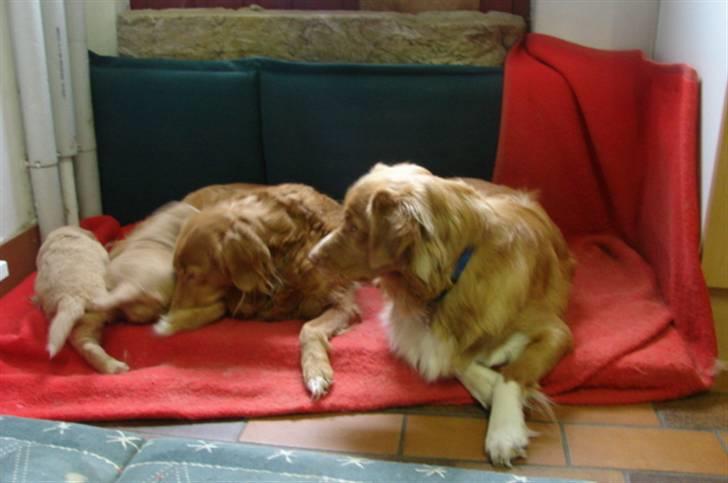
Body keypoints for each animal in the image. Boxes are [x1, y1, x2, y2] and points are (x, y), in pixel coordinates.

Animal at [156, 183, 358, 398]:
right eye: (176, 272)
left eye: (192, 275)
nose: (169, 310)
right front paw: (171, 323)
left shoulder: (343, 301)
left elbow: (309, 328)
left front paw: (316, 371)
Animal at [308, 164, 576, 466]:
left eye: (354, 226)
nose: (311, 256)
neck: (451, 278)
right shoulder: (408, 329)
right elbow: (449, 359)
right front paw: (491, 386)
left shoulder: (557, 331)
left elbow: (513, 372)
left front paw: (504, 431)